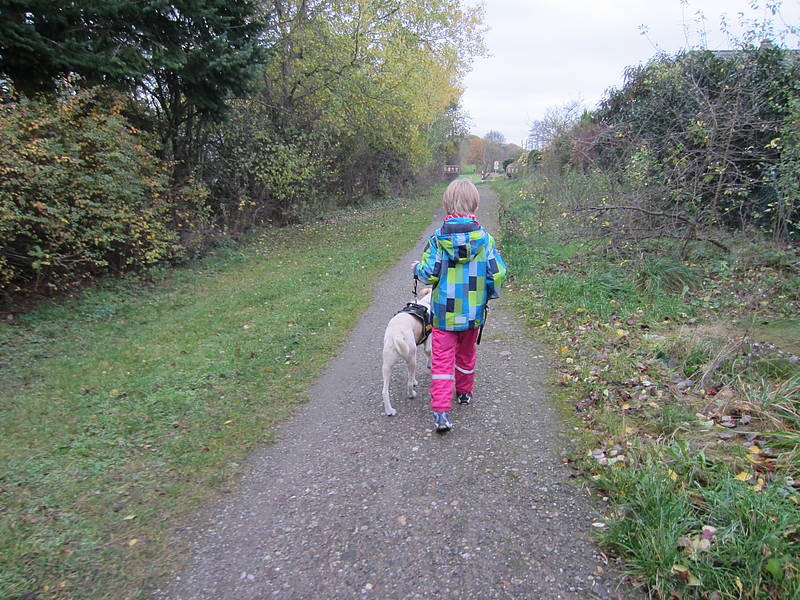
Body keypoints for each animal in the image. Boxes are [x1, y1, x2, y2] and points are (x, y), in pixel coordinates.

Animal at [381, 287, 432, 416]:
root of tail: (396, 334)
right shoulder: (428, 342)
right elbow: (429, 354)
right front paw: (430, 365)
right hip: (412, 356)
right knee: (408, 383)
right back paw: (412, 394)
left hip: (387, 365)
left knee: (384, 391)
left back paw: (389, 411)